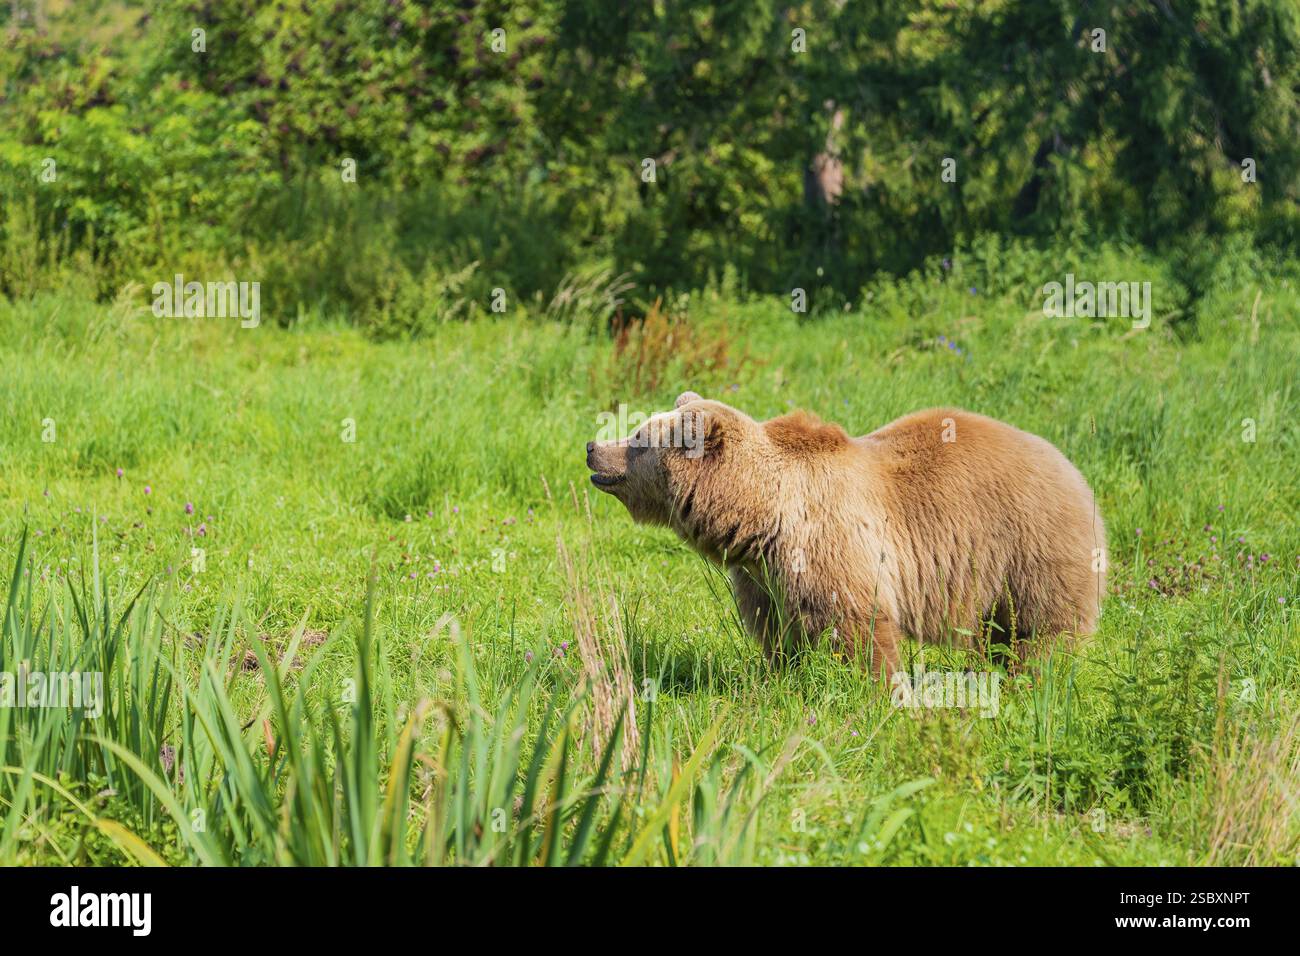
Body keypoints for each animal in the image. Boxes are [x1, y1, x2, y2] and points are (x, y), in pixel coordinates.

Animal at [586, 392, 1105, 678]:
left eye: (637, 438)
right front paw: (779, 677)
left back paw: (1034, 680)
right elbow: (777, 630)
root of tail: (1075, 470)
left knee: (1043, 628)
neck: (761, 513)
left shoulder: (832, 544)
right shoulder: (764, 572)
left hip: (1029, 545)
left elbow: (858, 623)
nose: (593, 447)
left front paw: (874, 691)